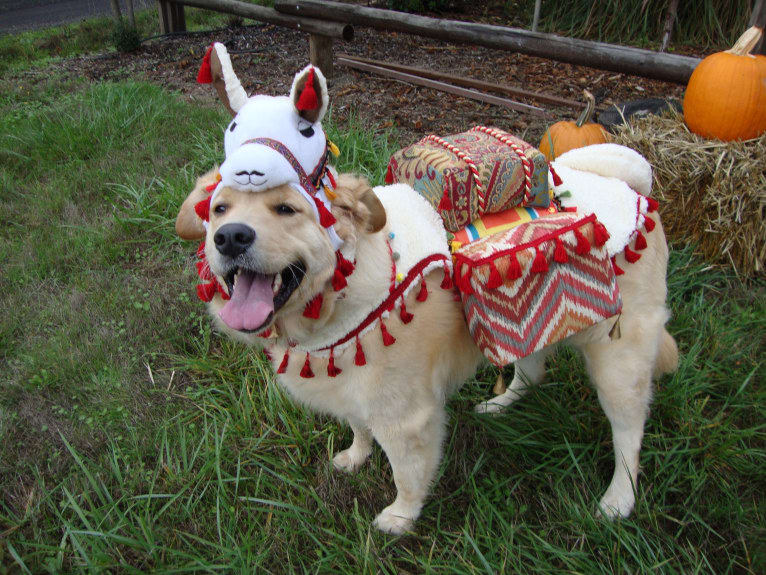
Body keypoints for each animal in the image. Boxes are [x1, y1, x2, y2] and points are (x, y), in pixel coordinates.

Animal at [177, 169, 680, 536]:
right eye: (219, 209)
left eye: (286, 209)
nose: (230, 237)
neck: (338, 294)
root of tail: (631, 188)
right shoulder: (353, 388)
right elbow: (359, 428)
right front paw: (356, 457)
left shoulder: (406, 417)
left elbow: (407, 475)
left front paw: (401, 517)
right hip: (528, 327)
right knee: (532, 371)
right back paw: (501, 404)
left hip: (619, 364)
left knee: (629, 436)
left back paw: (619, 499)